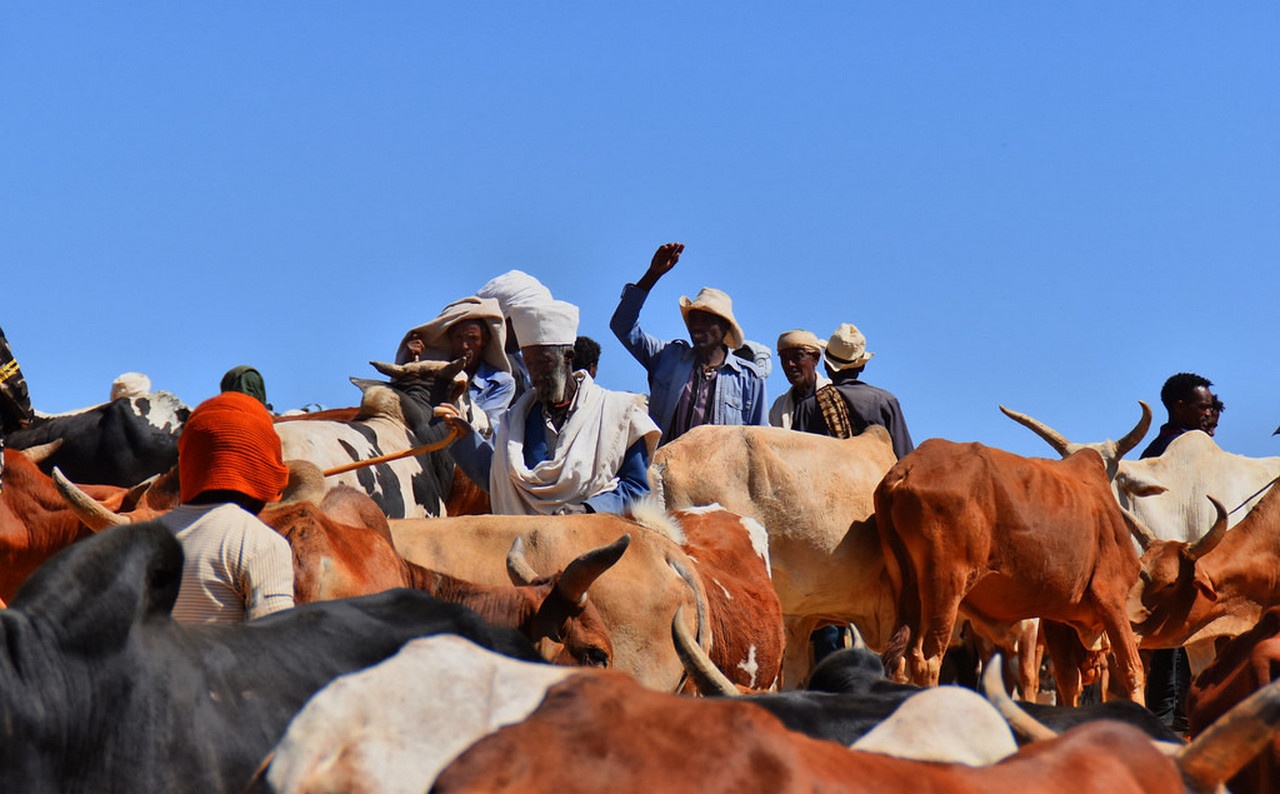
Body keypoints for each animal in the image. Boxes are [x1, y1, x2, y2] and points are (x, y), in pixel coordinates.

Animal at [875, 437, 1146, 701]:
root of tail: (908, 468)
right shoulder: (1110, 597)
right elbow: (1133, 670)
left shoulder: (1056, 615)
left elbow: (1067, 681)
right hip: (944, 589)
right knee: (928, 662)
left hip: (906, 590)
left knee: (900, 661)